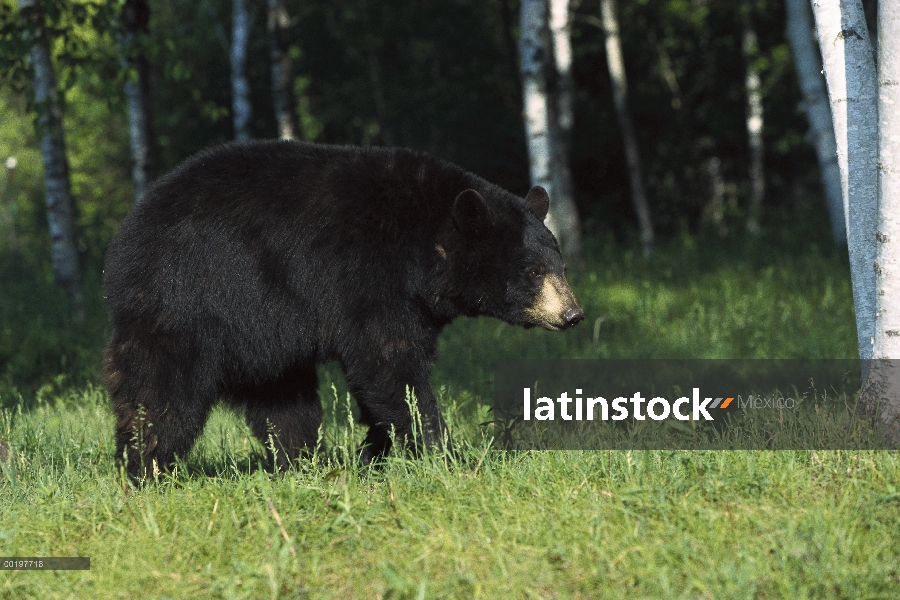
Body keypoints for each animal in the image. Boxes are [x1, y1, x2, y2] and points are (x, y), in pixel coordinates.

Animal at [105, 138, 584, 476]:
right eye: (534, 271)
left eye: (560, 265)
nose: (572, 314)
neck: (423, 247)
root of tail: (130, 229)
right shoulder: (366, 278)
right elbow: (388, 366)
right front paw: (445, 454)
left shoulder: (412, 305)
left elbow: (389, 373)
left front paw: (375, 451)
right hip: (187, 302)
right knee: (161, 393)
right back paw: (145, 467)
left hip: (262, 334)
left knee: (282, 398)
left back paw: (303, 461)